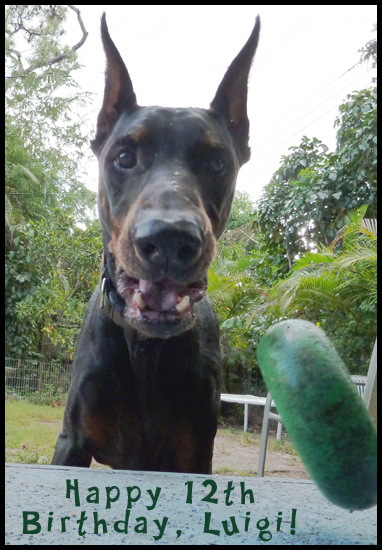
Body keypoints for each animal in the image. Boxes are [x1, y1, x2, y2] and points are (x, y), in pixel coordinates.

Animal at [51, 15, 260, 476]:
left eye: (216, 162)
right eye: (124, 156)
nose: (169, 239)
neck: (145, 347)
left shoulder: (195, 454)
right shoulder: (72, 441)